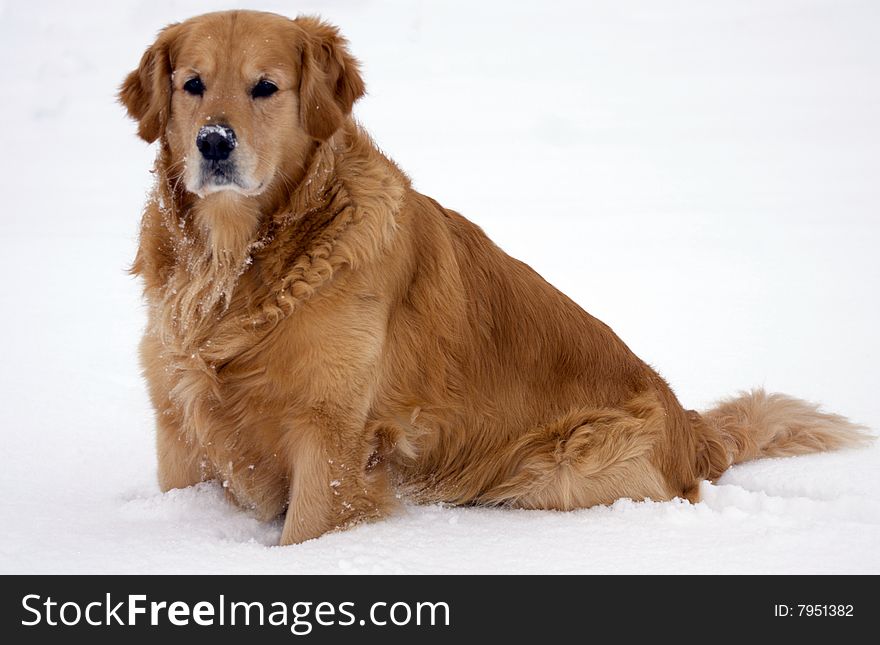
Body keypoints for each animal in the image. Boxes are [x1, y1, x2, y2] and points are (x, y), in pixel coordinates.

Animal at [120, 10, 868, 544]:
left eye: (266, 87)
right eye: (192, 84)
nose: (214, 143)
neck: (239, 261)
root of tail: (691, 427)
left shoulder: (331, 439)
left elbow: (305, 532)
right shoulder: (176, 425)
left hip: (562, 465)